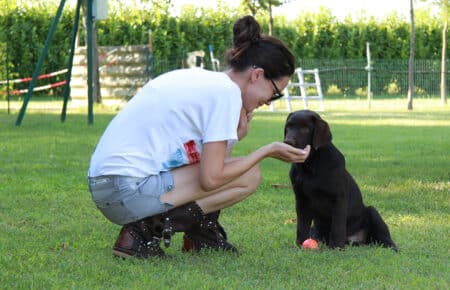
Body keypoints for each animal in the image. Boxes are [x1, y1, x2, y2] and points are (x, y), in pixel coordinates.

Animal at [284, 110, 398, 250]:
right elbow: (302, 225)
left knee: (384, 237)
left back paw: (392, 247)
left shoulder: (338, 199)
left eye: (305, 129)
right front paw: (300, 244)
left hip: (372, 212)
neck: (311, 165)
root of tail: (356, 240)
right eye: (288, 127)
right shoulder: (301, 200)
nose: (287, 142)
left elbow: (337, 225)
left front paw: (336, 246)